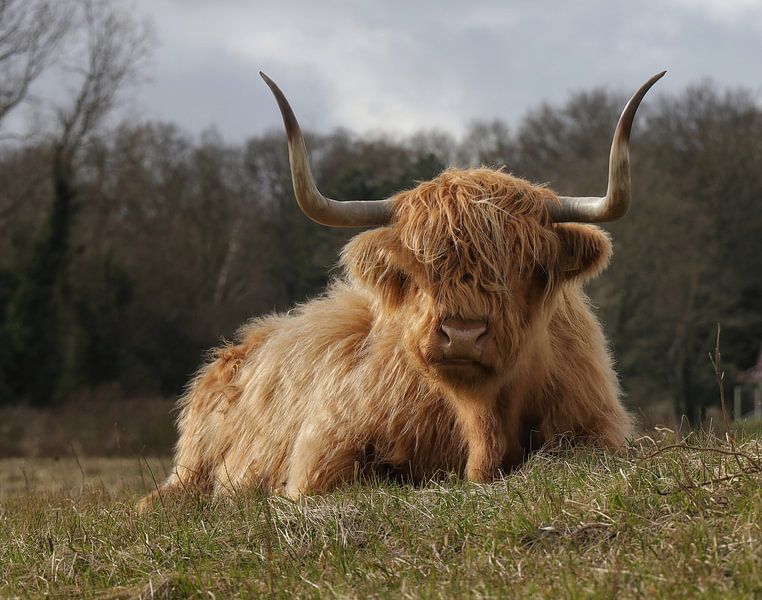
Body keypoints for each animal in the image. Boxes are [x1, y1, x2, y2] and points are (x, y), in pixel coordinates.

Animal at [140, 71, 664, 510]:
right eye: (417, 269)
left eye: (523, 264)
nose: (462, 334)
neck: (481, 422)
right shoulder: (322, 461)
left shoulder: (595, 433)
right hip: (187, 474)